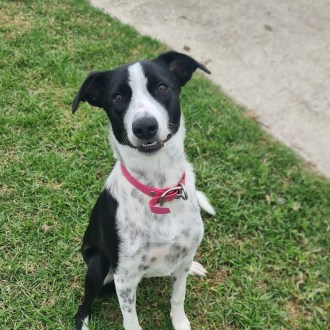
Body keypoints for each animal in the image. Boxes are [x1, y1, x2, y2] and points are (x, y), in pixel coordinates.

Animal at [73, 51, 214, 330]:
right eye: (117, 98)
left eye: (162, 87)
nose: (145, 126)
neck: (158, 189)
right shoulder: (125, 278)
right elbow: (130, 318)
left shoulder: (180, 262)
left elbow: (178, 298)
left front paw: (180, 322)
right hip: (97, 265)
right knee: (84, 304)